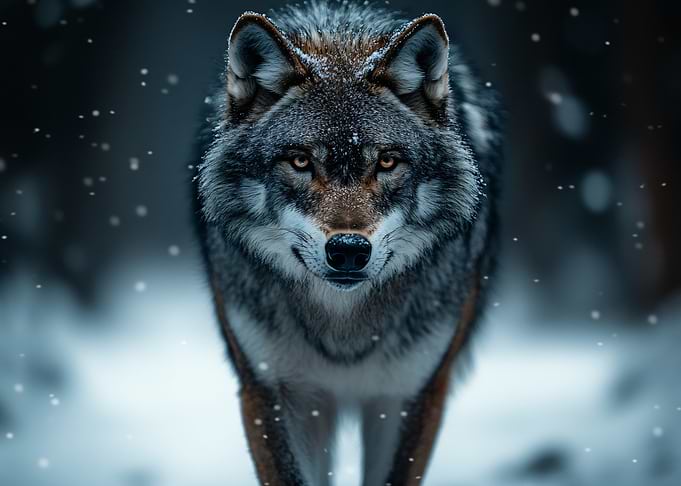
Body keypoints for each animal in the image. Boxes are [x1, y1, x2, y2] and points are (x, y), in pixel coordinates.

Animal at [193, 1, 502, 484]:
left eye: (387, 162)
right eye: (301, 161)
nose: (349, 250)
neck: (343, 331)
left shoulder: (412, 394)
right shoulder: (269, 391)